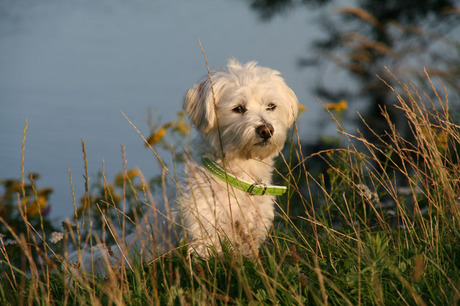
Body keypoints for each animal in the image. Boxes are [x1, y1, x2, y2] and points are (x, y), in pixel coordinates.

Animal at [67, 59, 298, 274]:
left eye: (271, 106)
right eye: (238, 109)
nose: (266, 130)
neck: (238, 177)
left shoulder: (251, 236)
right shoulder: (202, 235)